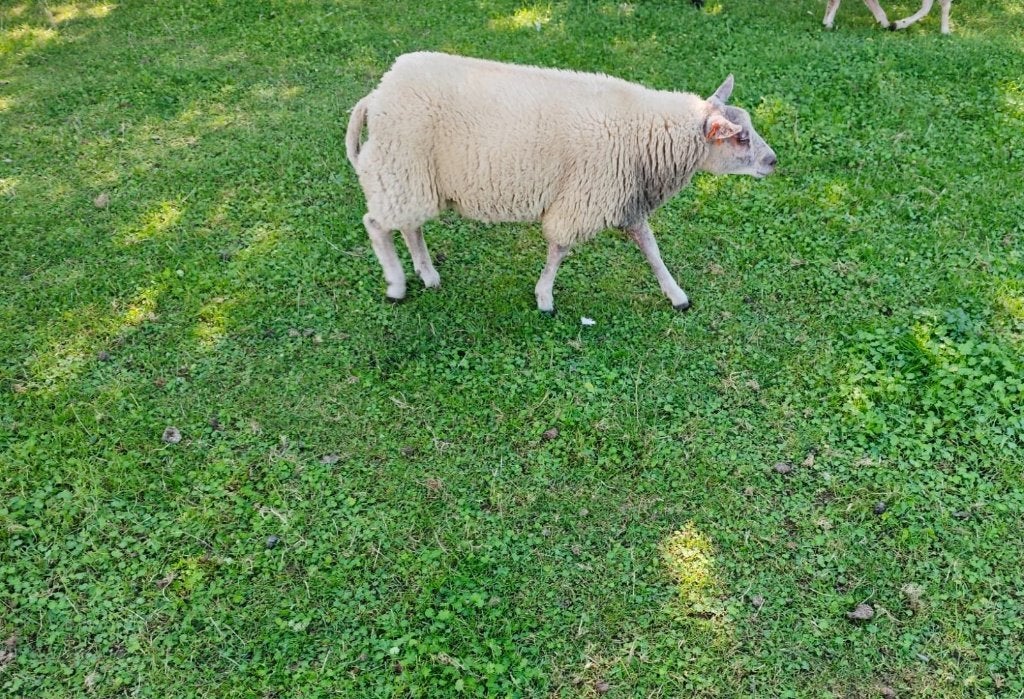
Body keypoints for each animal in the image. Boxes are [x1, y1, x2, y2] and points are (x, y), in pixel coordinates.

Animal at [345, 52, 777, 313]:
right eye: (740, 138)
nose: (773, 162)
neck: (647, 134)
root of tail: (375, 96)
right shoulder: (586, 196)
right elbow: (560, 248)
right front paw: (544, 298)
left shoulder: (625, 199)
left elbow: (652, 250)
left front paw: (677, 296)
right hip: (399, 164)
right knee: (377, 224)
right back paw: (397, 284)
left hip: (410, 174)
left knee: (409, 224)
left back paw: (428, 275)